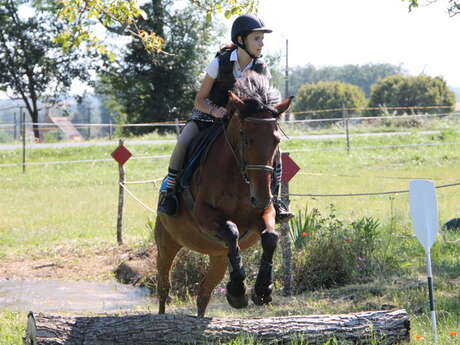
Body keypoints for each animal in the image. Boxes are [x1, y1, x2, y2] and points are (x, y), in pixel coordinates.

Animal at [154, 72, 292, 318]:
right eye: (246, 138)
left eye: (276, 140)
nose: (260, 196)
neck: (238, 178)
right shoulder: (203, 214)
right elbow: (231, 230)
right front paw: (237, 291)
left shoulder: (264, 212)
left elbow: (270, 237)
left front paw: (261, 290)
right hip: (167, 242)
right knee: (163, 285)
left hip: (217, 256)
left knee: (204, 292)